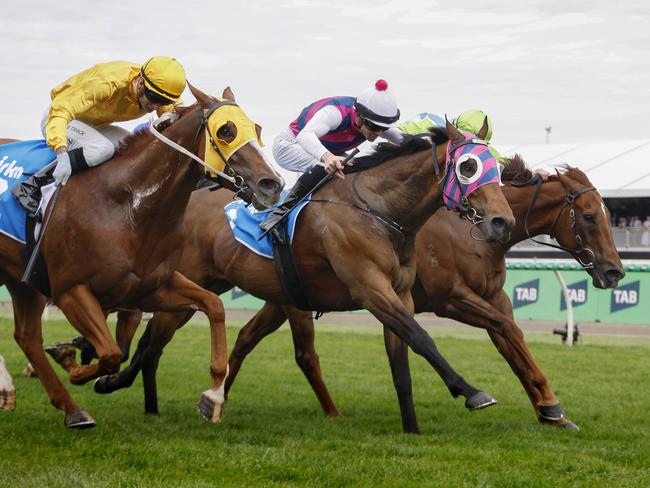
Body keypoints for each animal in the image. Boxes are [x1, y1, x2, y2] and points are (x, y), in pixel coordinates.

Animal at [0, 85, 284, 428]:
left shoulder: (150, 288)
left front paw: (213, 395)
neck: (128, 208)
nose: (272, 184)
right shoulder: (70, 290)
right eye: (226, 131)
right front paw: (73, 362)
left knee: (27, 337)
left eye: (257, 129)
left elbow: (214, 307)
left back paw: (70, 409)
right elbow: (109, 353)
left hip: (19, 281)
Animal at [92, 119, 516, 424]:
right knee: (151, 341)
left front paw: (411, 428)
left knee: (154, 340)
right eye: (468, 166)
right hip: (188, 284)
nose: (503, 223)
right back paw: (119, 384)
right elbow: (423, 338)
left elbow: (402, 363)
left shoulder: (400, 294)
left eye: (497, 168)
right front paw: (472, 392)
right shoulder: (370, 288)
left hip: (206, 286)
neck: (379, 210)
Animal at [219, 156, 624, 430]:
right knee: (298, 352)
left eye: (608, 214)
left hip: (283, 297)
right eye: (589, 216)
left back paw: (222, 395)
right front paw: (549, 405)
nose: (614, 271)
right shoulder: (452, 299)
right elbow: (510, 331)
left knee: (247, 337)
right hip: (297, 300)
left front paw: (549, 410)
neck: (471, 231)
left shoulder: (494, 297)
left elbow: (511, 344)